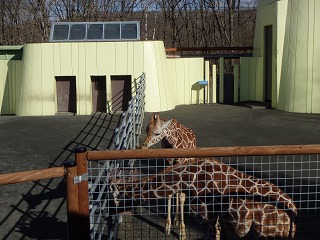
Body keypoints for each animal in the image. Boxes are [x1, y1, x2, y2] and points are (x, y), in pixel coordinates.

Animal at [110, 158, 298, 240]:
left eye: (115, 197)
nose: (111, 213)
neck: (190, 177)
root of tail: (294, 209)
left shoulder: (206, 216)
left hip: (268, 233)